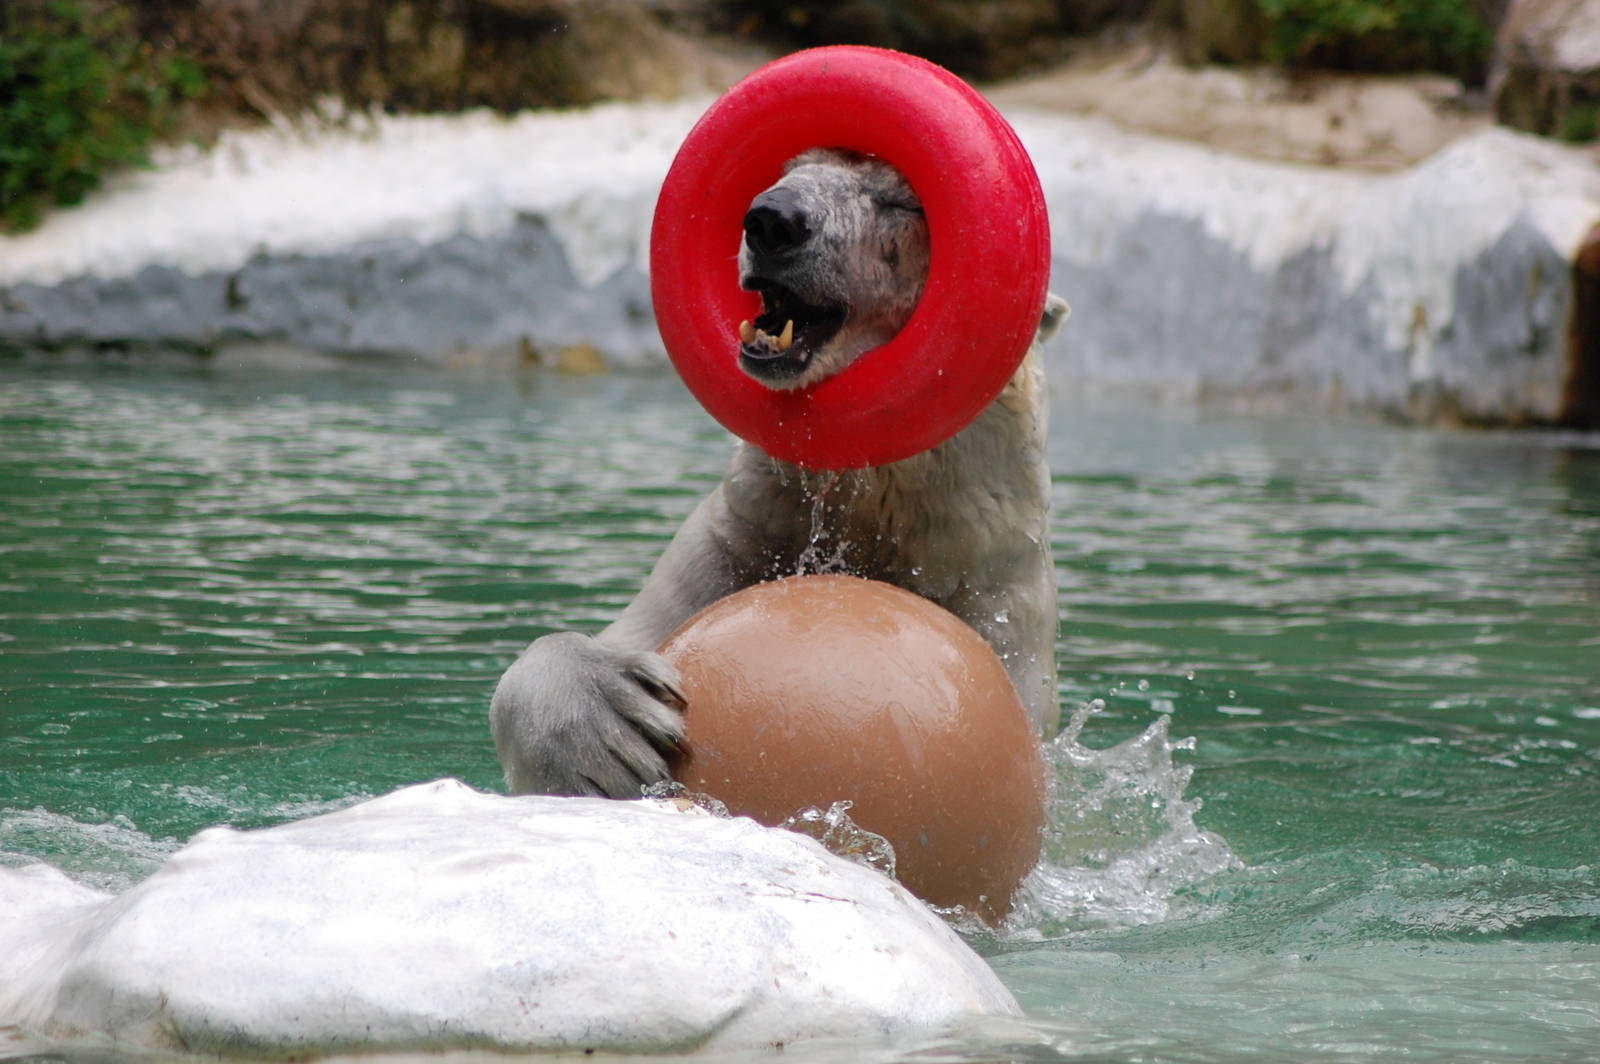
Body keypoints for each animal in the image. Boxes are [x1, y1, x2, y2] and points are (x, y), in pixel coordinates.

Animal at [490, 148, 1070, 798]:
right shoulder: (736, 540)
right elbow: (623, 638)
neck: (883, 515)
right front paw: (607, 724)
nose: (773, 219)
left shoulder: (996, 605)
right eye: (793, 168)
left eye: (903, 201)